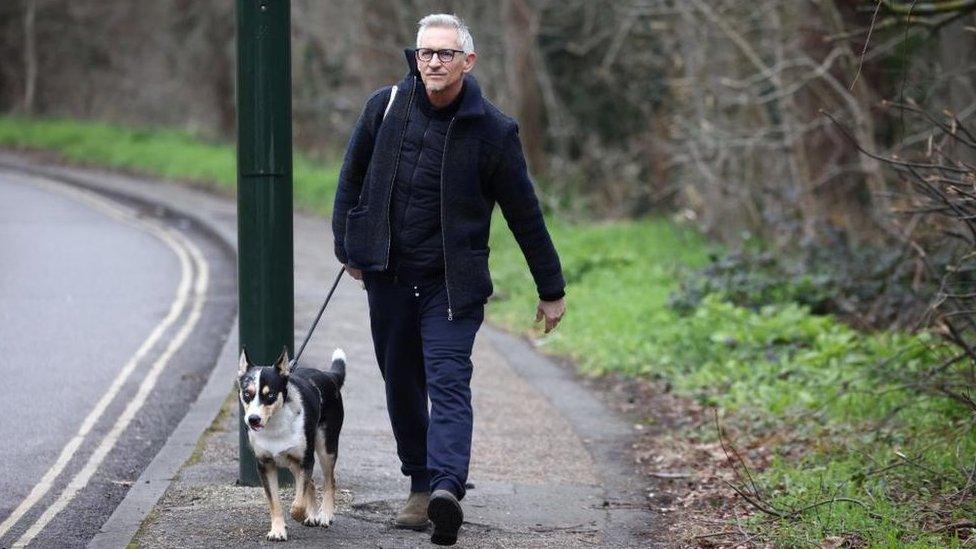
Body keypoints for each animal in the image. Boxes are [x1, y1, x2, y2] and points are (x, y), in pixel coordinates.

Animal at [237, 346, 346, 540]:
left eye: (270, 395)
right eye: (247, 394)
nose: (253, 419)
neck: (275, 424)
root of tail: (329, 376)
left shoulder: (305, 460)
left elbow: (298, 503)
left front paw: (300, 514)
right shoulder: (265, 465)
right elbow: (274, 502)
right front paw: (277, 530)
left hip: (326, 447)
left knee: (329, 481)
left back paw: (325, 515)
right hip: (293, 463)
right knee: (311, 483)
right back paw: (313, 515)